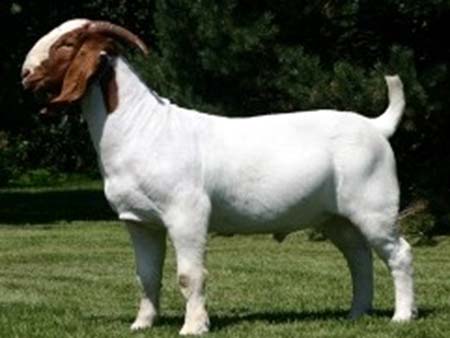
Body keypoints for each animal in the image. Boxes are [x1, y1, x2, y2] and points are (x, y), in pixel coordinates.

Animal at [20, 19, 414, 336]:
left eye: (67, 44)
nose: (24, 74)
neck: (141, 127)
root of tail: (376, 125)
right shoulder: (138, 221)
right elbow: (145, 275)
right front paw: (141, 324)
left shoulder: (186, 213)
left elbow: (188, 274)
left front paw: (193, 326)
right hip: (334, 217)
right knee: (358, 257)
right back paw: (356, 314)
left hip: (374, 205)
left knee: (399, 253)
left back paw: (402, 316)